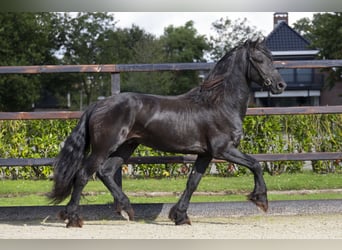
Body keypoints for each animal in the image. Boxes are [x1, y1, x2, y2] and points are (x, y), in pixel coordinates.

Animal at [50, 38, 286, 227]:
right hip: (104, 147)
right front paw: (261, 201)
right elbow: (255, 164)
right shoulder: (223, 150)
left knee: (105, 172)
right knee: (83, 175)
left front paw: (180, 216)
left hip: (126, 146)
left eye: (271, 58)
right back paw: (73, 219)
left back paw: (126, 209)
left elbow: (192, 182)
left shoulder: (206, 154)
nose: (280, 85)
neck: (219, 103)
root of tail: (97, 105)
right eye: (258, 59)